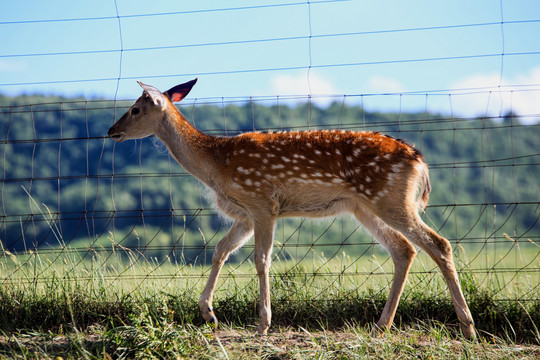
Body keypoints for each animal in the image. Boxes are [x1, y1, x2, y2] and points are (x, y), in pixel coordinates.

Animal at [107, 79, 474, 338]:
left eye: (135, 109)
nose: (111, 130)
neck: (216, 166)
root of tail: (419, 161)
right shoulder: (245, 214)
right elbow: (220, 251)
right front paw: (208, 312)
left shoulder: (261, 202)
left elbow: (261, 259)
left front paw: (263, 324)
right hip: (365, 207)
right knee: (404, 249)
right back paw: (381, 326)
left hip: (390, 199)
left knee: (438, 243)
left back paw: (467, 327)